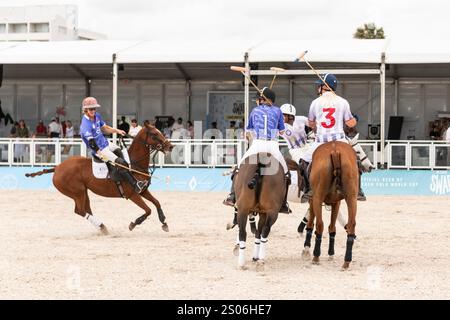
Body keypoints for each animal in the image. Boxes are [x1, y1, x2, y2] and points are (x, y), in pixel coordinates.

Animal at [25, 125, 174, 235]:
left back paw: (101, 228)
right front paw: (133, 223)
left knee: (86, 210)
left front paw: (164, 222)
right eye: (154, 134)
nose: (170, 146)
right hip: (77, 192)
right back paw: (102, 226)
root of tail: (57, 168)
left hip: (83, 192)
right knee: (79, 210)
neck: (134, 164)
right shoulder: (133, 195)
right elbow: (148, 210)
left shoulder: (142, 190)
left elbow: (157, 203)